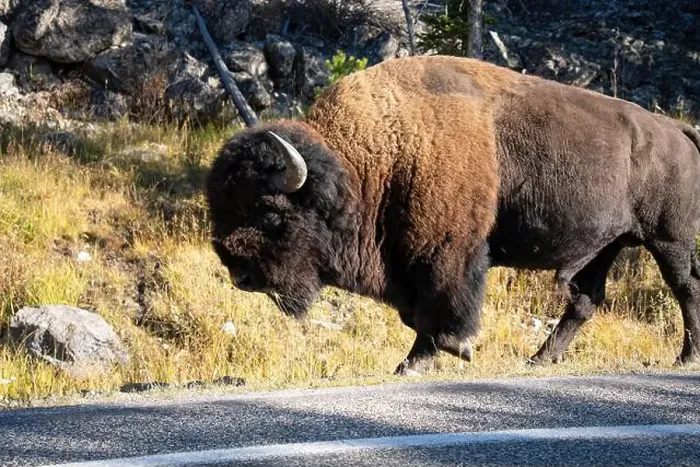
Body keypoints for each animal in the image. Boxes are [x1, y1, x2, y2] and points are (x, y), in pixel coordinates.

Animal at [206, 55, 700, 375]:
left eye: (270, 214)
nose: (242, 276)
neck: (375, 155)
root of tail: (675, 129)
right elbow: (415, 312)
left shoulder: (447, 253)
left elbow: (440, 308)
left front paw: (435, 357)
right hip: (605, 246)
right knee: (585, 300)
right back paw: (540, 359)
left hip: (667, 240)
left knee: (685, 287)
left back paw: (686, 356)